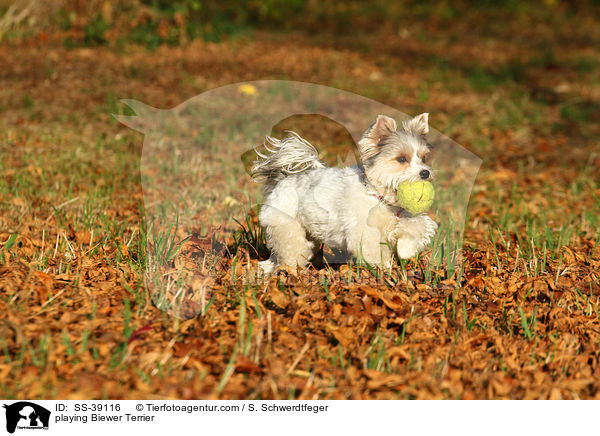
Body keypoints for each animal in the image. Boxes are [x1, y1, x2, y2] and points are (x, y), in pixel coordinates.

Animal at [251, 114, 438, 274]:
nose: (425, 173)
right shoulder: (364, 231)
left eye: (424, 158)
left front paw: (406, 250)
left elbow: (419, 226)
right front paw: (385, 268)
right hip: (287, 227)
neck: (379, 197)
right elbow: (374, 250)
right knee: (290, 249)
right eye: (402, 159)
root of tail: (283, 179)